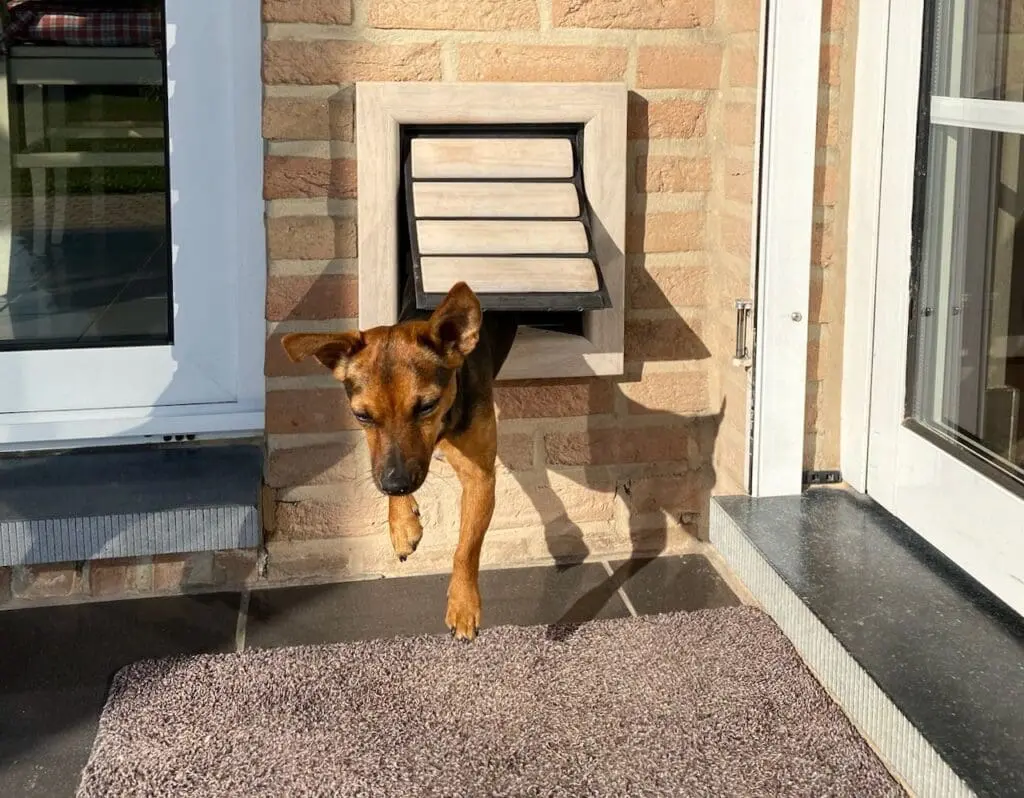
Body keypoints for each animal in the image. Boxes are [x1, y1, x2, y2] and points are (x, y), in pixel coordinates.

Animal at [280, 280, 516, 643]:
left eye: (427, 406)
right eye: (362, 415)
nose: (397, 484)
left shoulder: (481, 476)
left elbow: (466, 548)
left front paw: (463, 604)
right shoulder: (388, 462)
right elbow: (386, 468)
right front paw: (402, 522)